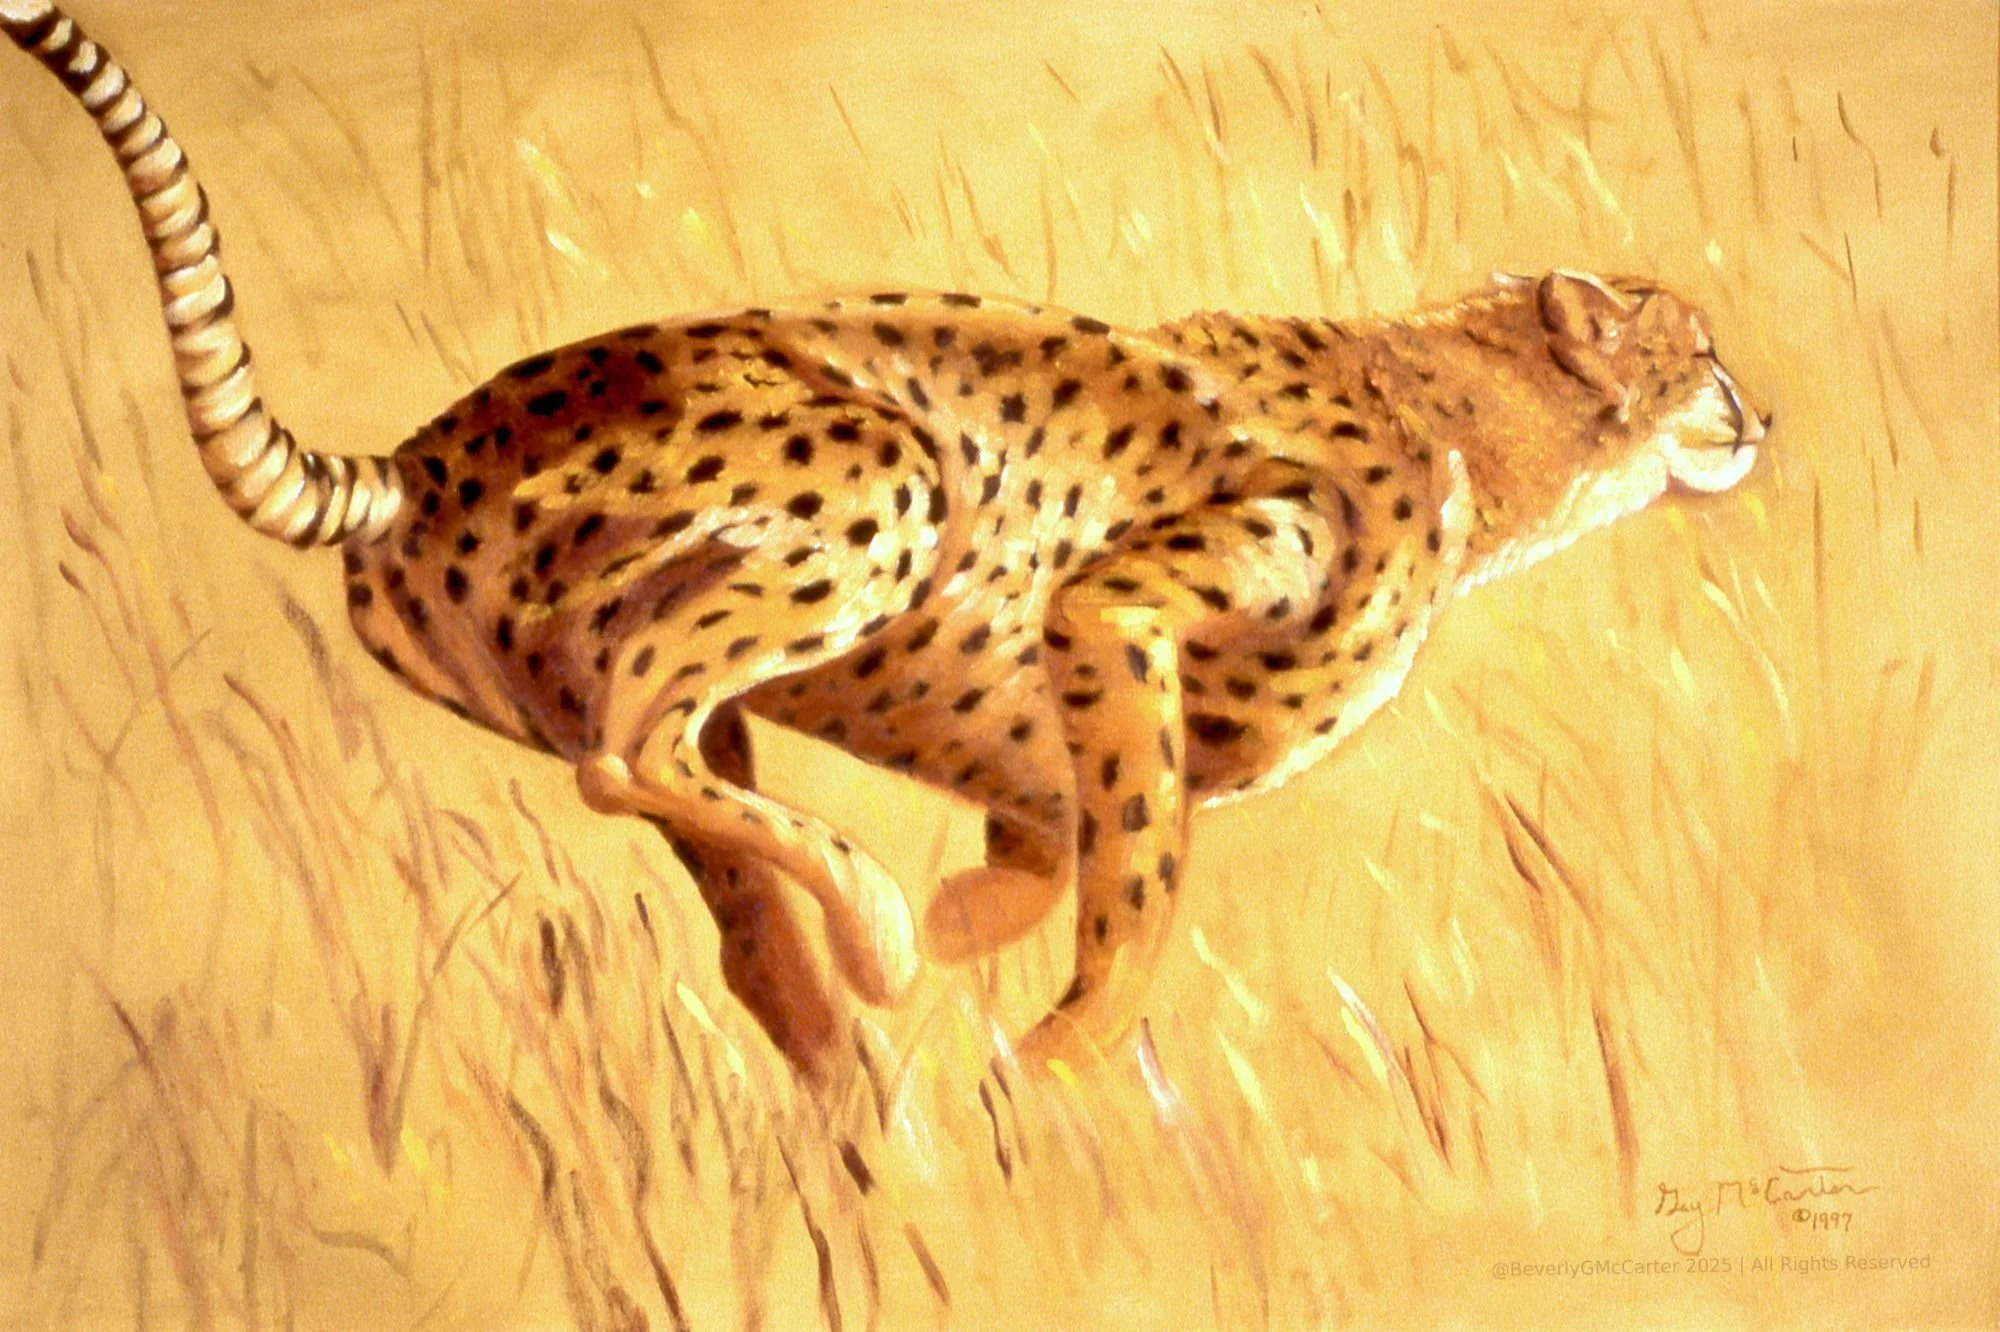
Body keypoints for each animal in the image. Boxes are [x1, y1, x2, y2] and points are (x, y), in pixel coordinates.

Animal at [5, 1, 1767, 1084]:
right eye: (1699, 353)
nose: (1761, 416)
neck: (1466, 413)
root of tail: (435, 448)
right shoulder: (1118, 604)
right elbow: (1142, 875)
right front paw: (1057, 1055)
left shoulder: (1054, 717)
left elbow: (1064, 845)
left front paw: (989, 947)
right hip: (880, 472)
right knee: (629, 752)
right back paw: (871, 936)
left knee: (695, 842)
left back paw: (835, 1056)